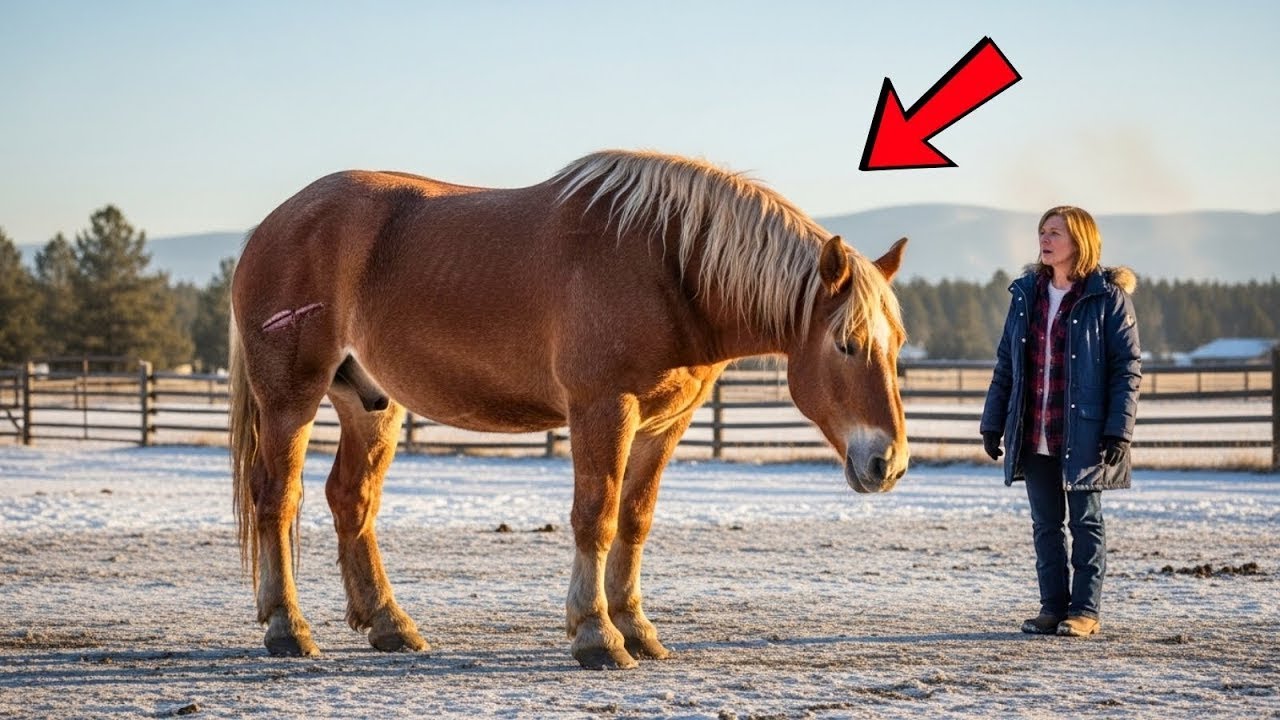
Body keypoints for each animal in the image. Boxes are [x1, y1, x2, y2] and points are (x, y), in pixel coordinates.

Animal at [228, 149, 910, 670]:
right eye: (847, 344)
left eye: (897, 342)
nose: (890, 463)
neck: (667, 266)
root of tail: (271, 224)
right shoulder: (602, 410)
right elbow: (596, 517)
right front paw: (596, 635)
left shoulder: (665, 424)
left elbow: (635, 520)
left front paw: (636, 628)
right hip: (290, 397)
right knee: (276, 497)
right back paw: (288, 627)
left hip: (372, 404)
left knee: (352, 500)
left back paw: (389, 624)